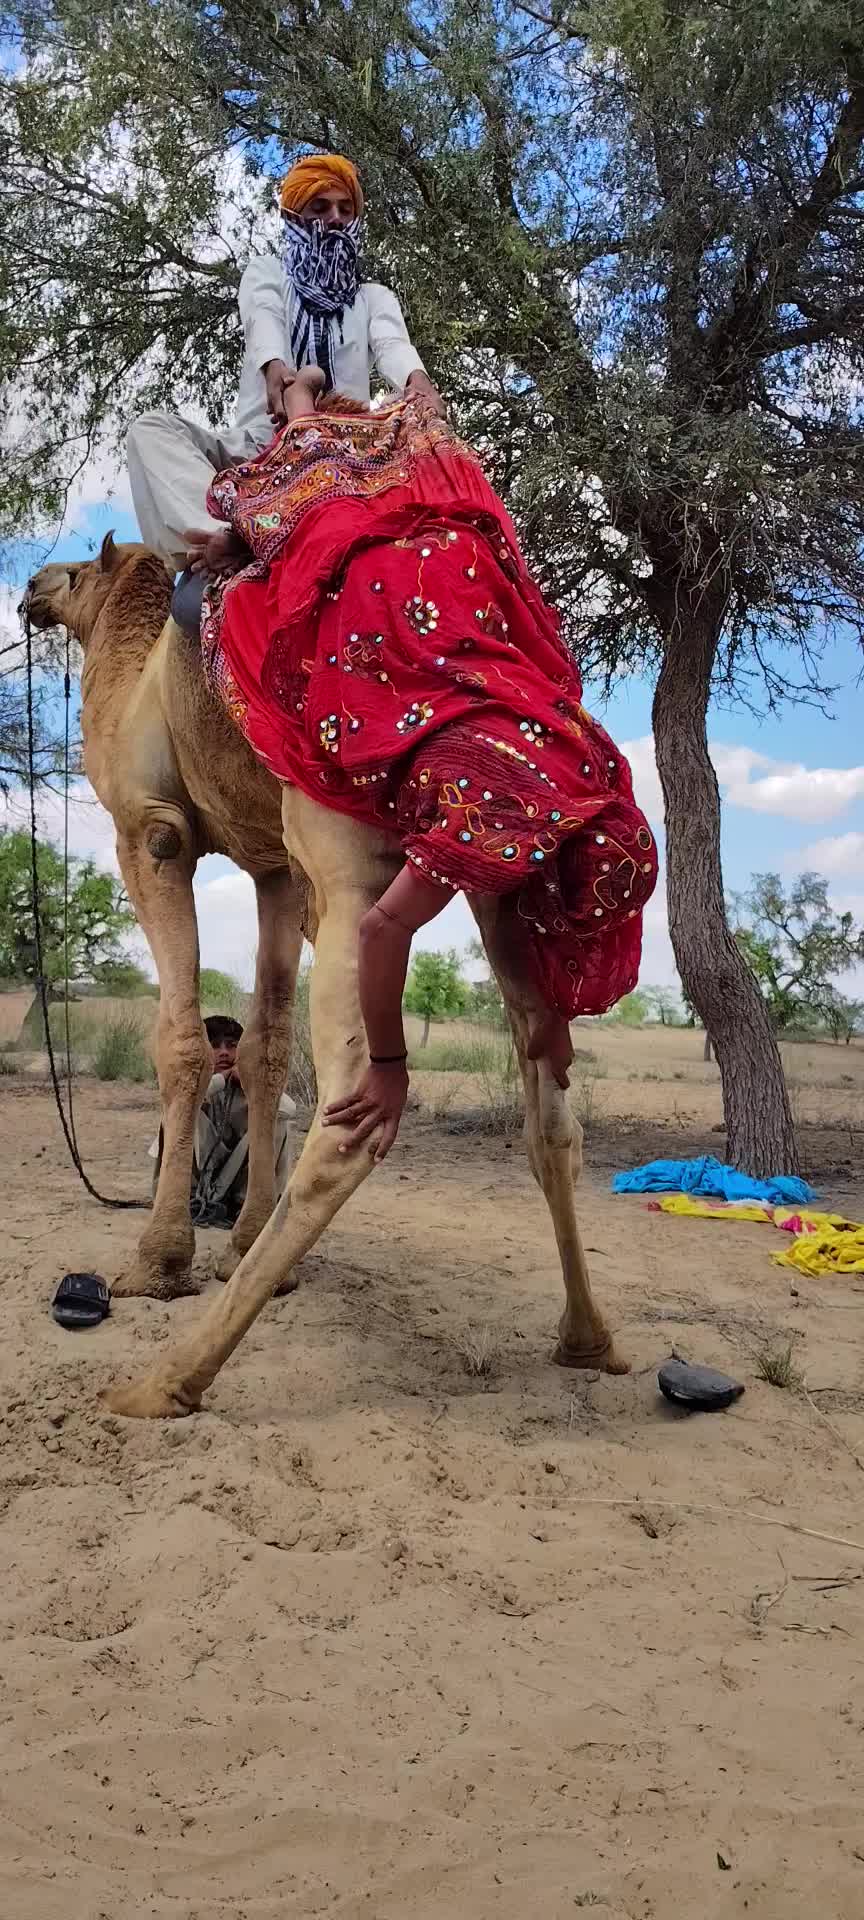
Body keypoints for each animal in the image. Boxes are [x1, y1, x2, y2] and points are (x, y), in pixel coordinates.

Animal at [24, 534, 627, 1419]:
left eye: (70, 574)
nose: (28, 589)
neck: (131, 680)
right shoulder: (275, 870)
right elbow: (266, 1044)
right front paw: (243, 1247)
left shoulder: (152, 832)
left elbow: (182, 1039)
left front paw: (158, 1264)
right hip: (497, 887)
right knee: (549, 1108)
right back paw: (589, 1340)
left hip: (348, 860)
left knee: (352, 1111)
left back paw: (165, 1381)